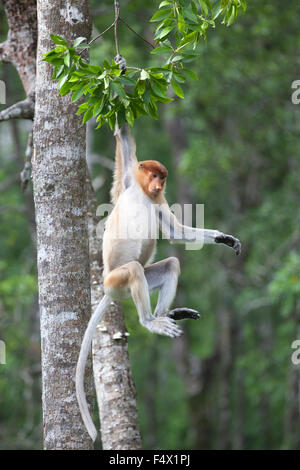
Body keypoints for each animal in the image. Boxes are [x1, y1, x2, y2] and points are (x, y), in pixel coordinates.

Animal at [77, 125, 241, 440]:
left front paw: (224, 238)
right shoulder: (130, 180)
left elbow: (178, 234)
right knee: (133, 270)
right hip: (117, 279)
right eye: (153, 175)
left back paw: (168, 314)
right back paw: (151, 321)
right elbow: (125, 148)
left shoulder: (156, 200)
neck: (143, 194)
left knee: (171, 264)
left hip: (133, 280)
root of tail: (107, 291)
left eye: (162, 177)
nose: (158, 184)